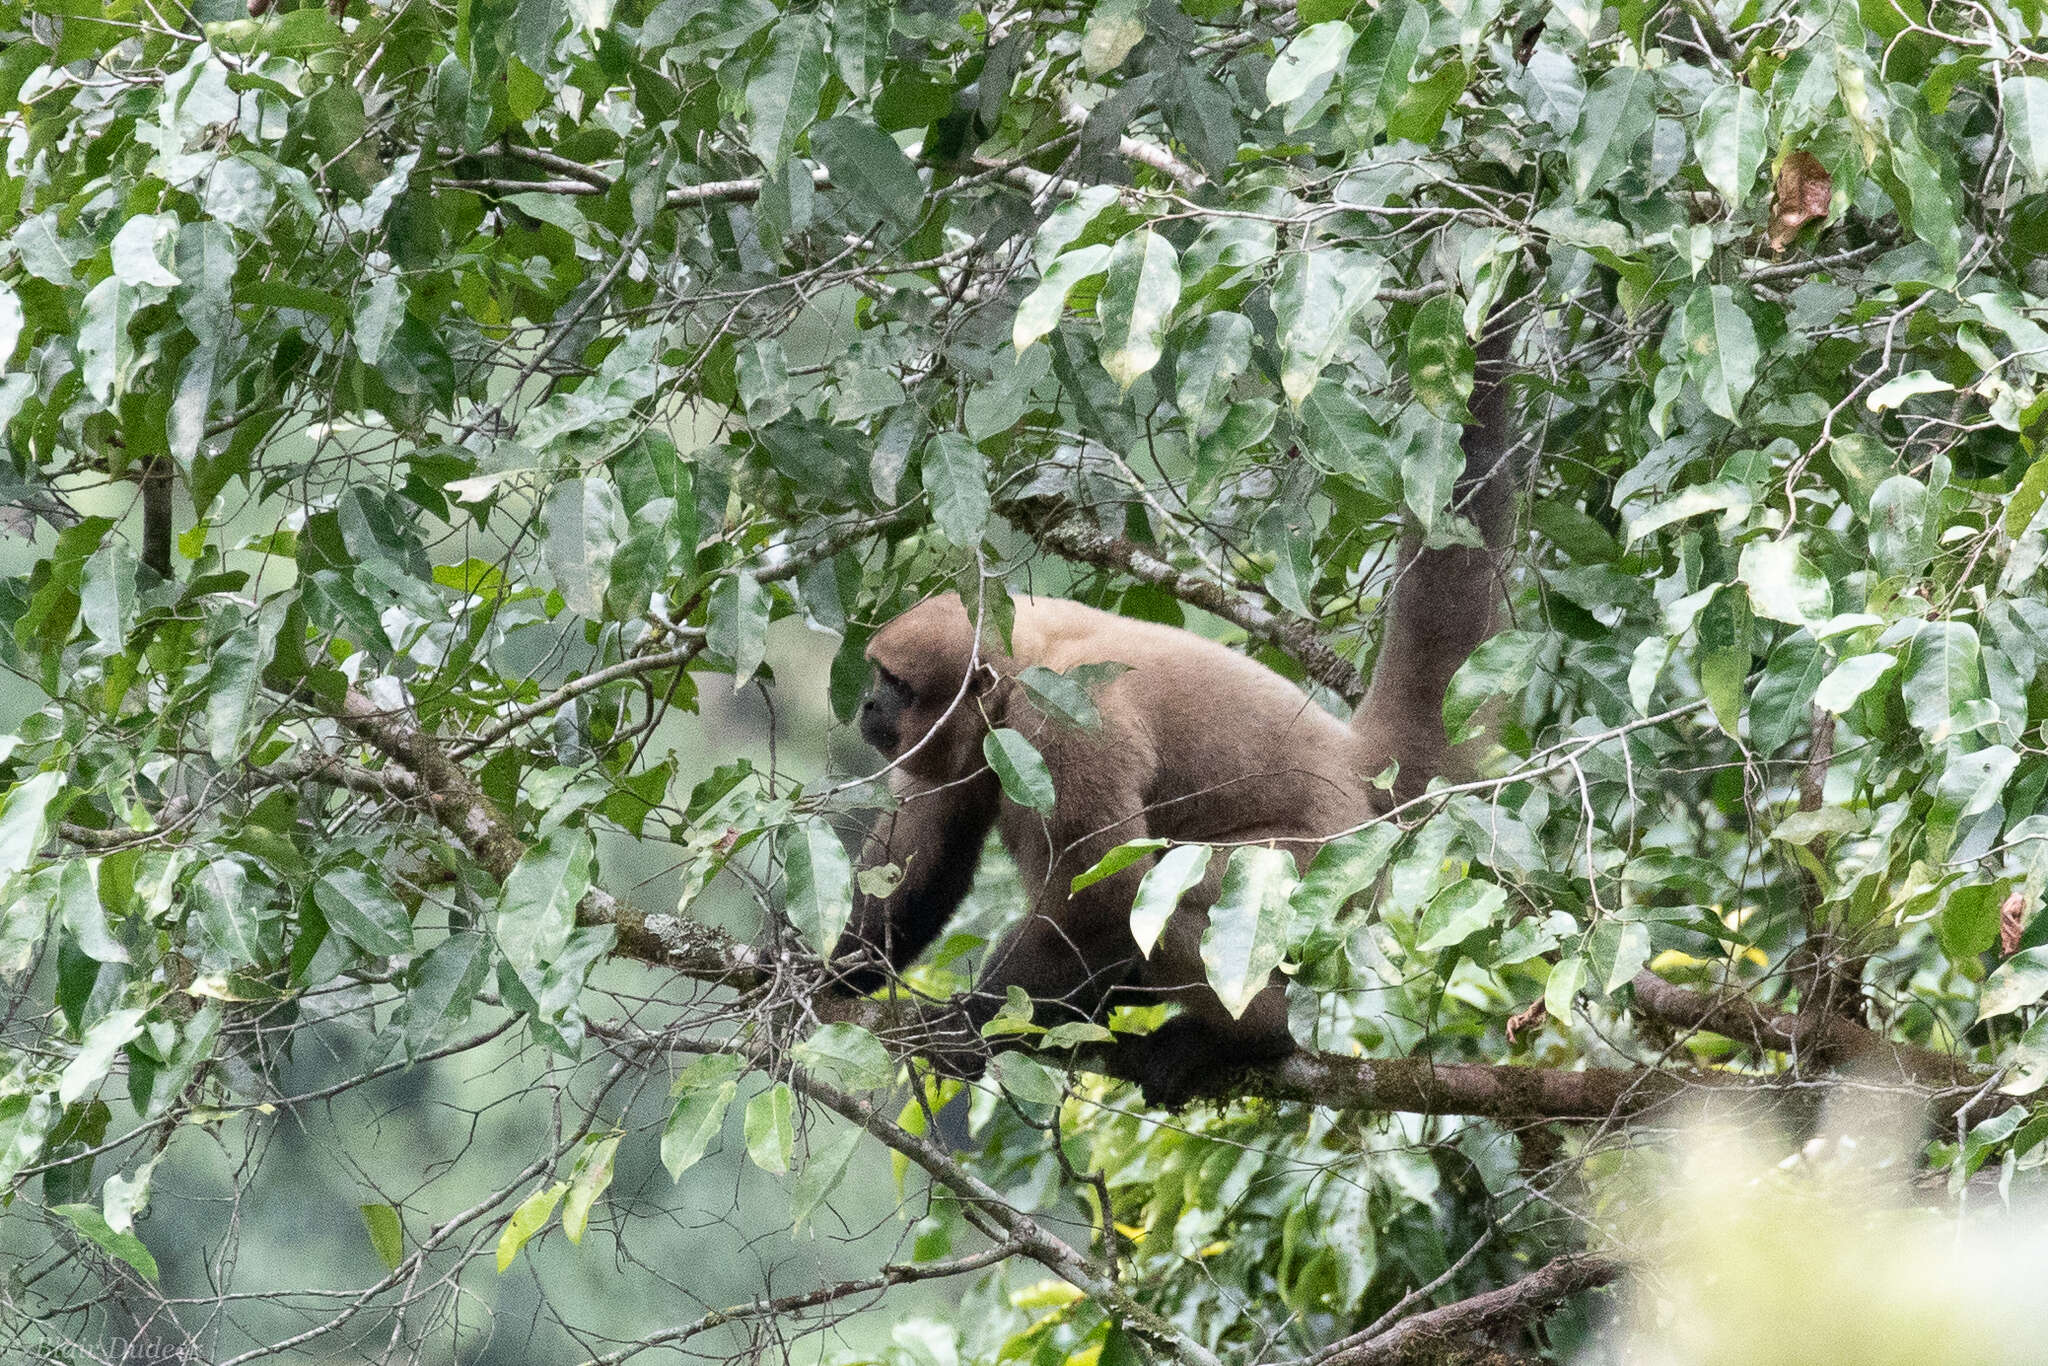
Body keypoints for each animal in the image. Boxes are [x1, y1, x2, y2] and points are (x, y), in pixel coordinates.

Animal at [827, 315, 1523, 1105]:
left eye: (897, 685)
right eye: (878, 676)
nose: (868, 702)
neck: (1015, 669)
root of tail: (1356, 764)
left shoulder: (1067, 729)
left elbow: (1105, 897)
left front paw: (969, 1026)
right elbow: (923, 854)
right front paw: (819, 976)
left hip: (1323, 860)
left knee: (1178, 888)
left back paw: (1248, 1037)